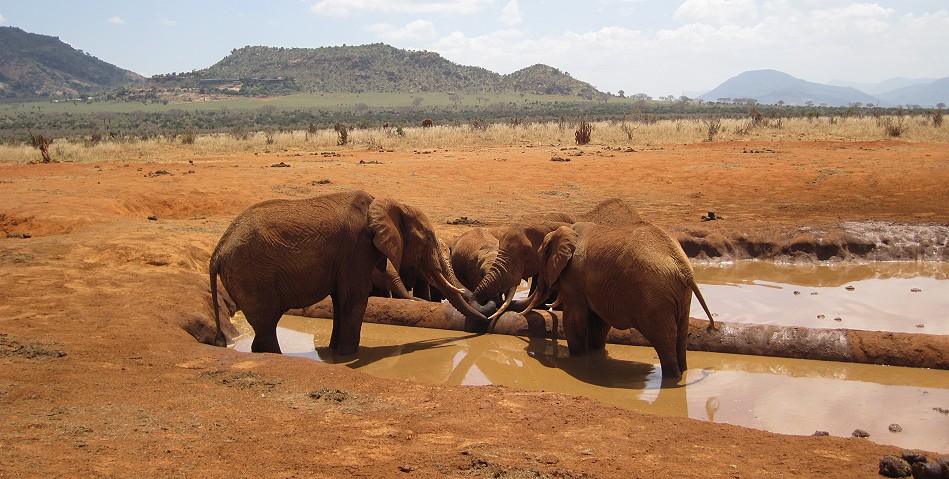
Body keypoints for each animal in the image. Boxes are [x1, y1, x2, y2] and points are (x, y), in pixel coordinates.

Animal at [211, 189, 492, 354]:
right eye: (428, 239)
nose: (484, 323)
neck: (386, 202)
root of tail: (218, 251)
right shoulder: (356, 248)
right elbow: (353, 297)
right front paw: (348, 354)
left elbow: (339, 300)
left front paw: (335, 352)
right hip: (252, 277)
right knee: (267, 324)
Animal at [524, 223, 716, 380]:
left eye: (540, 259)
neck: (565, 231)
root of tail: (684, 268)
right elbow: (598, 321)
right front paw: (595, 353)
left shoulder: (573, 278)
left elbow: (575, 319)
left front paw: (577, 357)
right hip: (681, 296)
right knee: (681, 334)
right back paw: (682, 372)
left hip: (654, 299)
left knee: (663, 338)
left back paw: (672, 378)